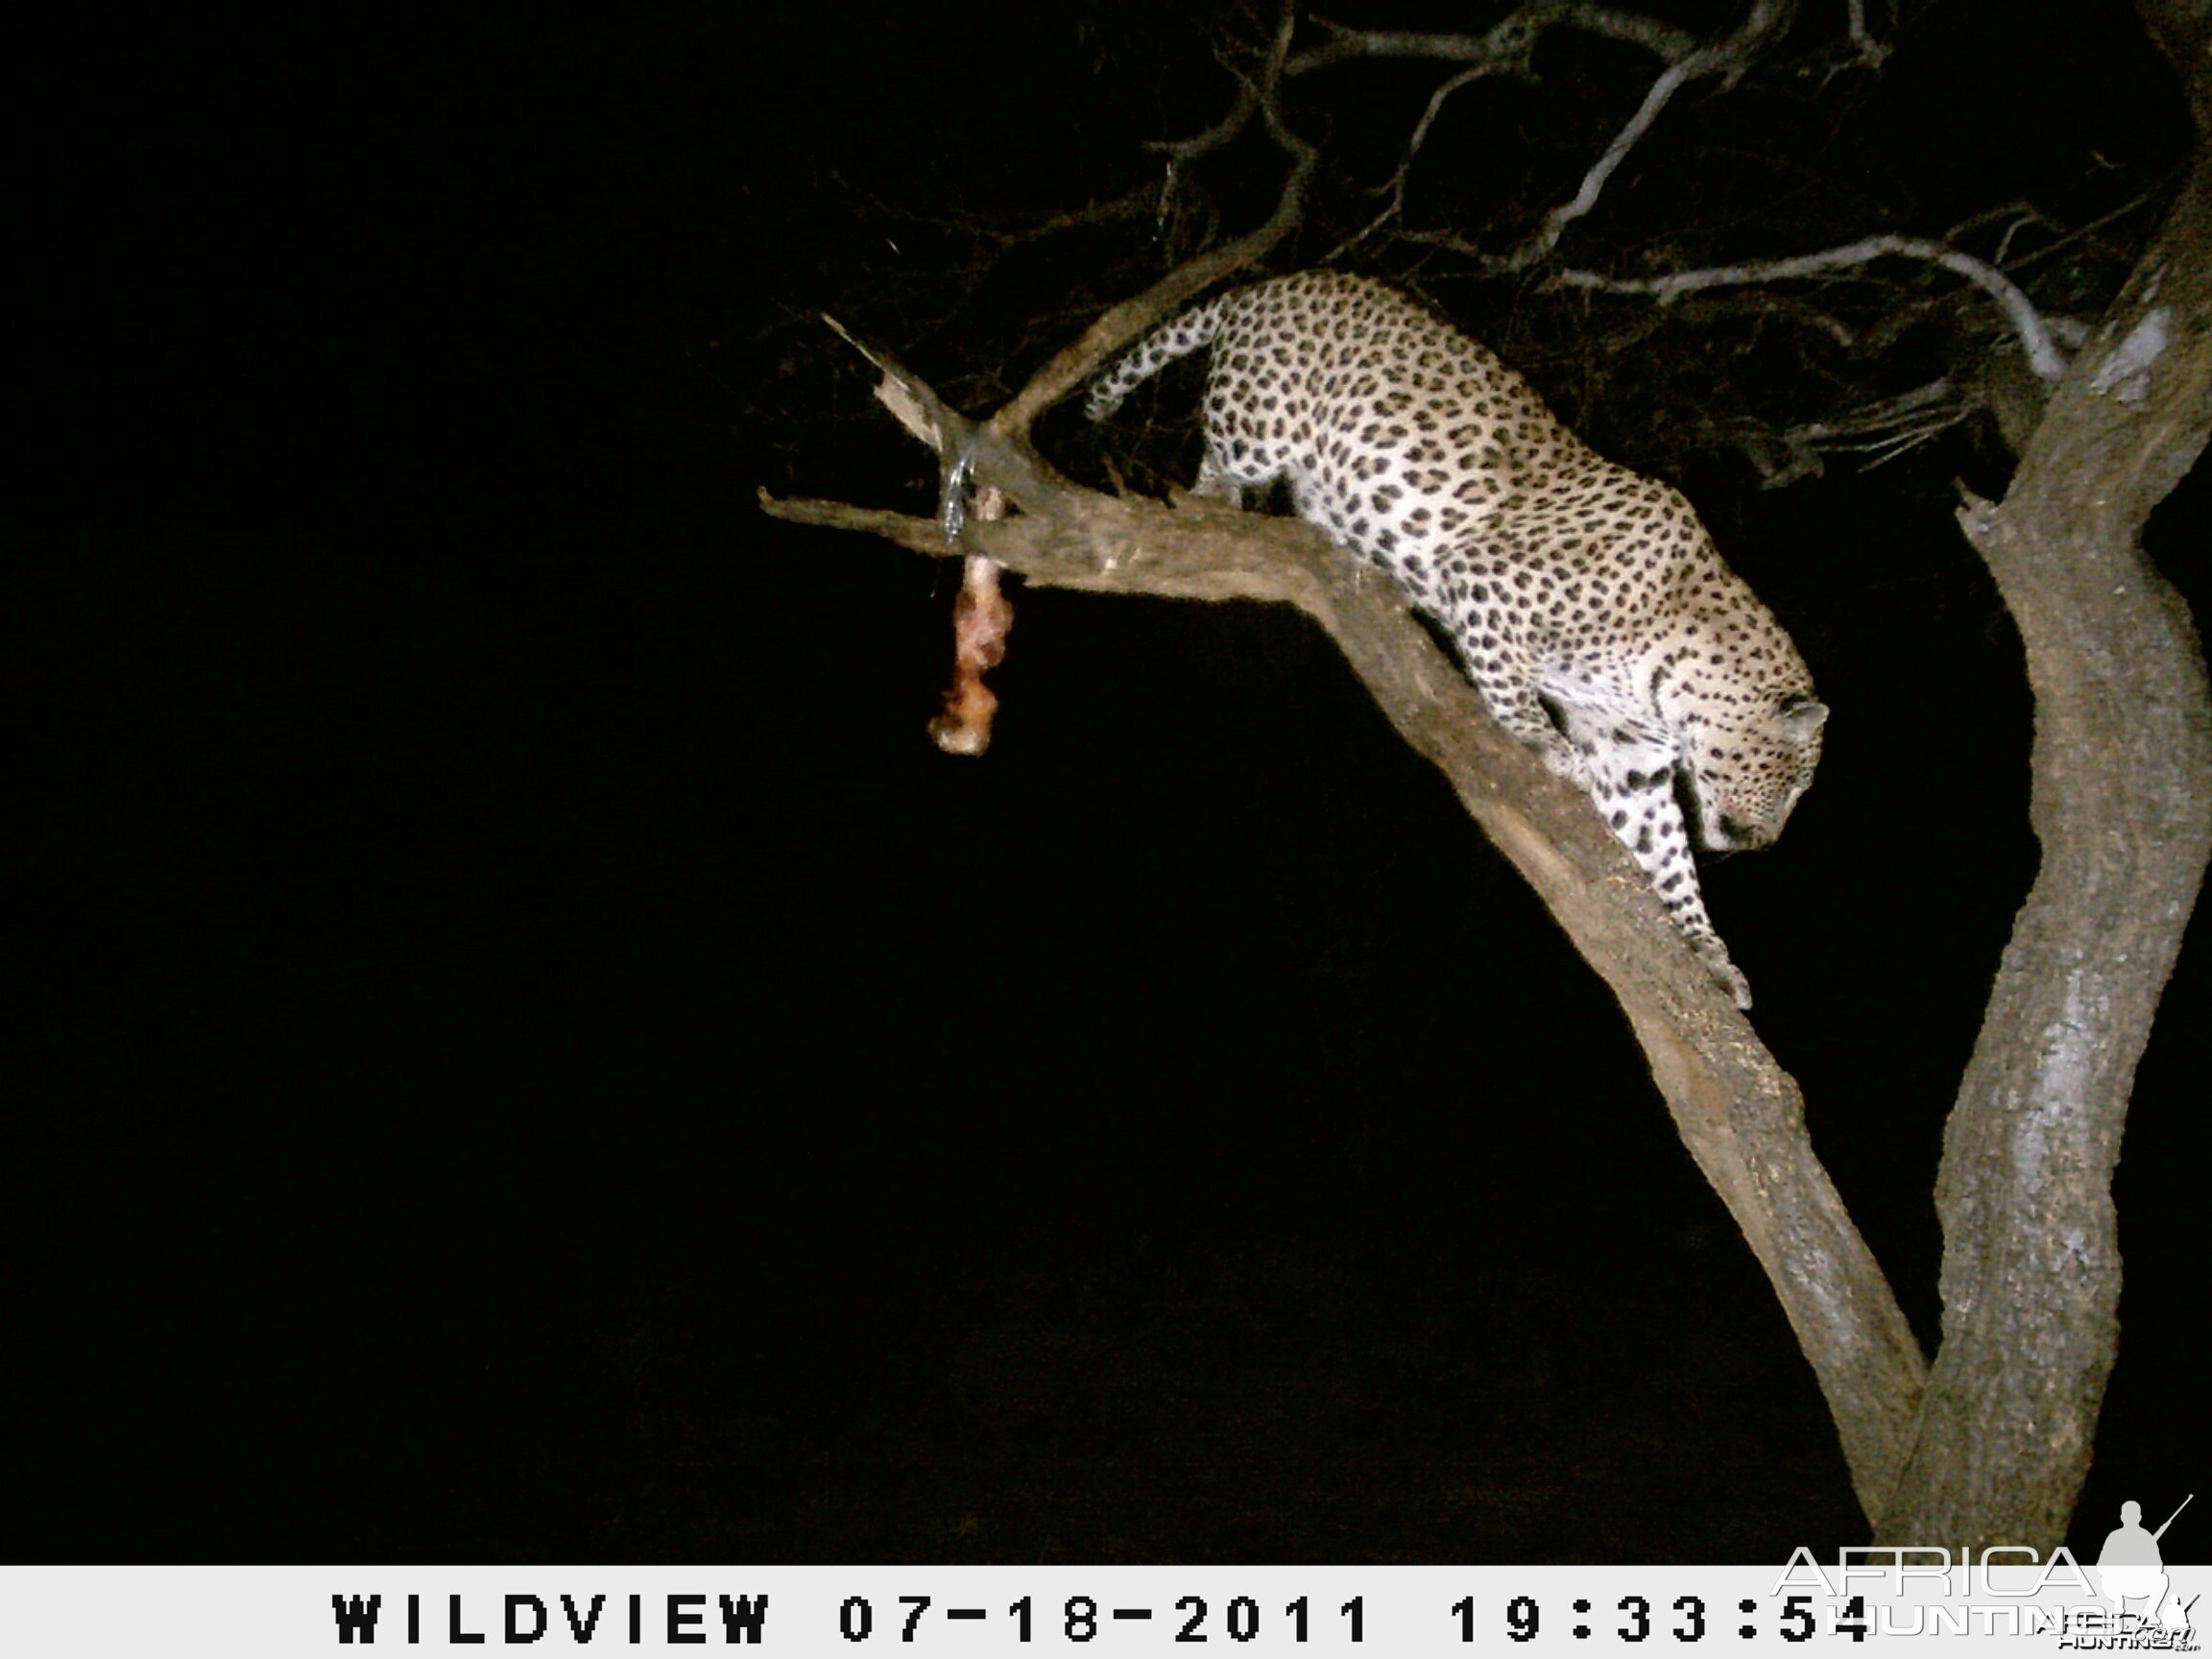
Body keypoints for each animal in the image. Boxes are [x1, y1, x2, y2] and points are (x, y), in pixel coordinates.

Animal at [1088, 270, 1831, 1013]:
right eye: (1792, 781)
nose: (1766, 845)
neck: (1672, 675)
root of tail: (1278, 280)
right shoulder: (1488, 582)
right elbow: (1509, 687)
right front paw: (1541, 743)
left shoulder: (1630, 757)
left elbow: (1667, 856)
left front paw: (1710, 955)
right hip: (1263, 419)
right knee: (1217, 463)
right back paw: (1218, 499)